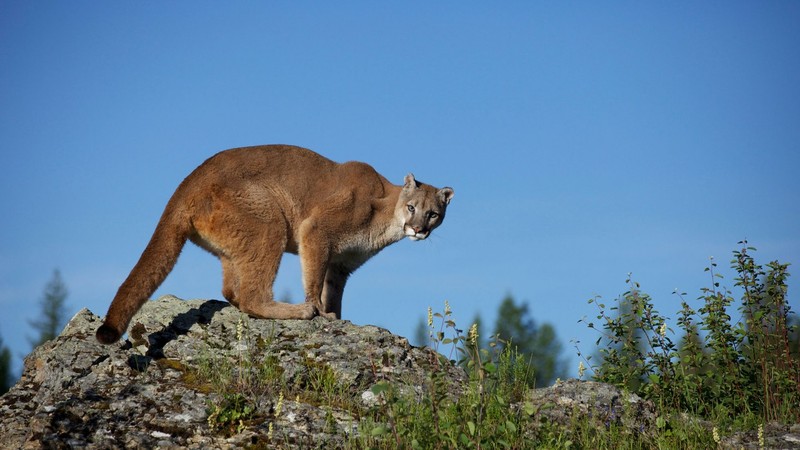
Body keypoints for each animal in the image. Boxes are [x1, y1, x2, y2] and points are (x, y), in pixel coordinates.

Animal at [97, 144, 454, 344]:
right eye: (412, 208)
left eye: (434, 214)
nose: (419, 229)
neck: (386, 213)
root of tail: (187, 183)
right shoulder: (316, 231)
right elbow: (313, 280)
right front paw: (319, 311)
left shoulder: (341, 266)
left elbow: (332, 292)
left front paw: (336, 316)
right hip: (269, 221)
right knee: (251, 296)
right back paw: (298, 311)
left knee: (232, 291)